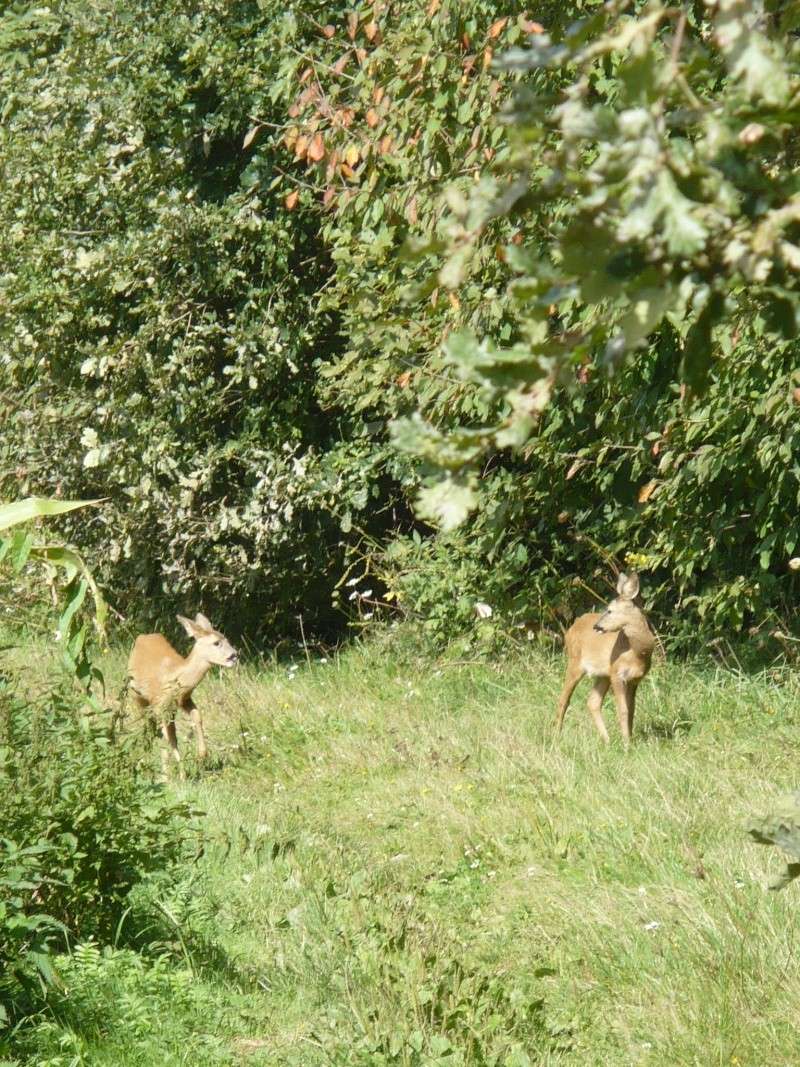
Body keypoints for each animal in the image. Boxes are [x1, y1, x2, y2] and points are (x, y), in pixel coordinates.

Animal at [127, 614, 237, 781]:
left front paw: (201, 756)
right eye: (216, 643)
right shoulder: (160, 705)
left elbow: (197, 717)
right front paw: (166, 777)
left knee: (165, 732)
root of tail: (142, 637)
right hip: (137, 697)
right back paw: (144, 763)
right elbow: (165, 737)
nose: (234, 655)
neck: (177, 677)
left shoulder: (184, 700)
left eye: (227, 639)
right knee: (148, 727)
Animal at [558, 576, 657, 742]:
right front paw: (626, 743)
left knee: (592, 701)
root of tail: (570, 628)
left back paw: (607, 740)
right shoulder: (617, 673)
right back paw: (555, 736)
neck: (638, 652)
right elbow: (623, 710)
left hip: (603, 674)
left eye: (610, 610)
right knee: (563, 699)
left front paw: (630, 739)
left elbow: (631, 710)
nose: (596, 626)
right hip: (575, 662)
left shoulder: (634, 679)